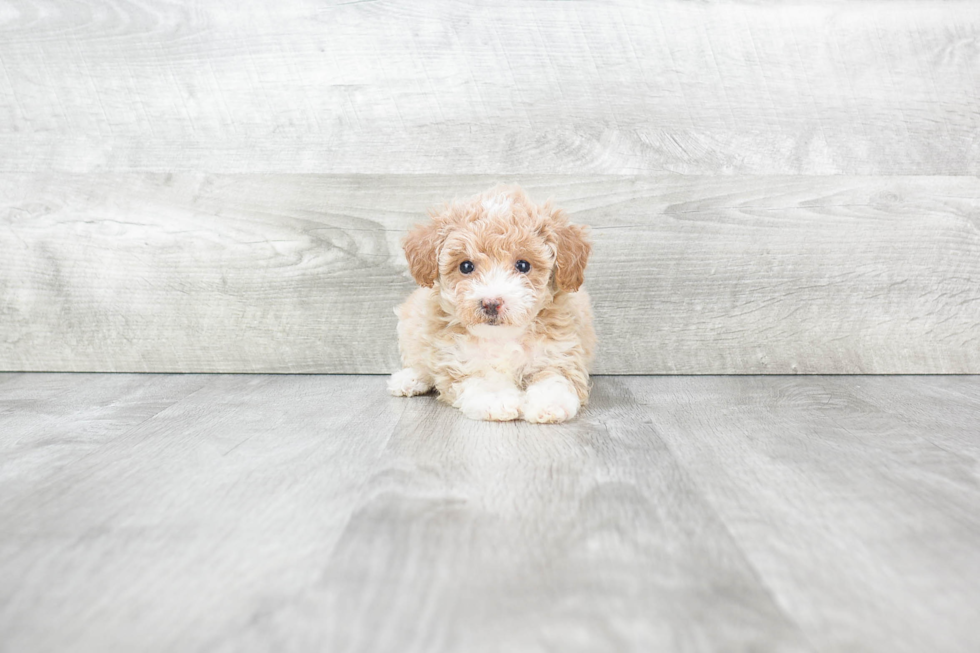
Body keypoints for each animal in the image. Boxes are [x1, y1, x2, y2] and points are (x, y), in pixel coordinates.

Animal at [390, 186, 596, 422]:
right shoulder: (458, 358)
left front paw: (550, 403)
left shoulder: (559, 351)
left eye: (523, 265)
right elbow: (483, 379)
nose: (491, 303)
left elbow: (555, 378)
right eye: (466, 266)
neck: (501, 337)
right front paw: (497, 400)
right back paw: (409, 379)